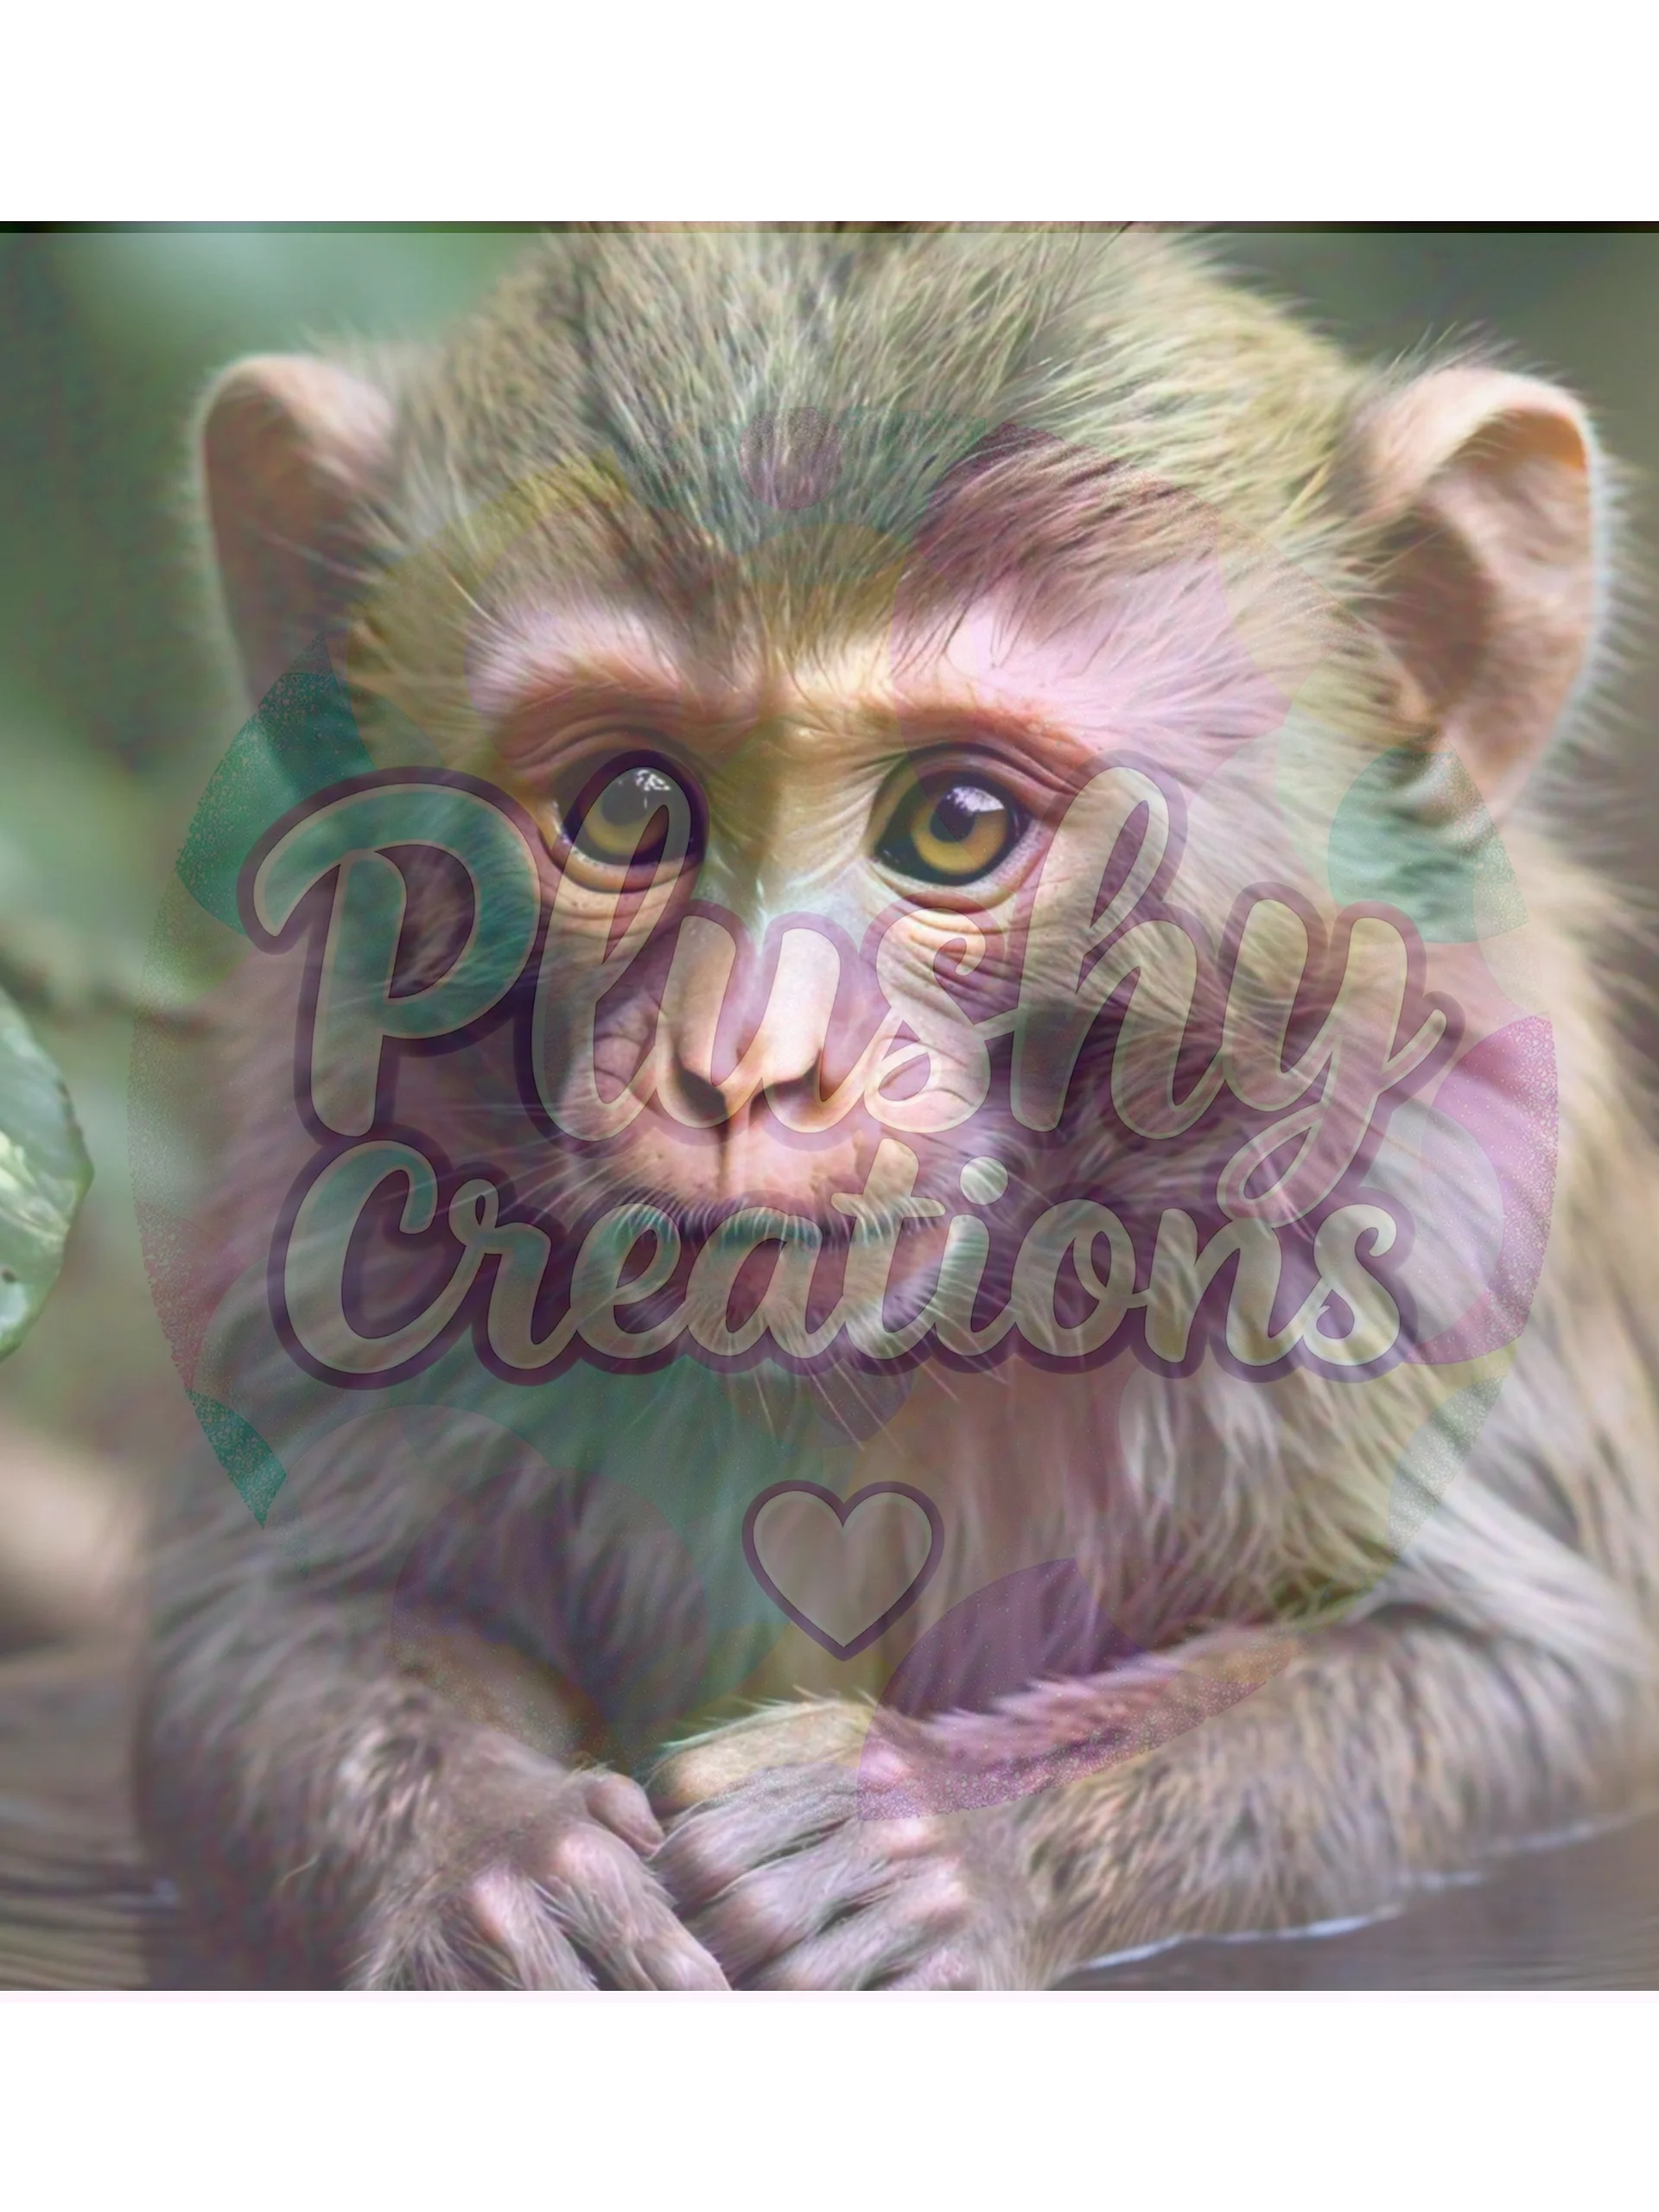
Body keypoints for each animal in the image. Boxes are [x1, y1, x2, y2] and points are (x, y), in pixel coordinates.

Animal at [131, 223, 1659, 1991]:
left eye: (955, 823)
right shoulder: (353, 1153)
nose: (744, 1064)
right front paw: (497, 1865)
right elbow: (265, 1623)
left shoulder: (1430, 1198)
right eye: (632, 804)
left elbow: (1542, 1690)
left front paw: (927, 1843)